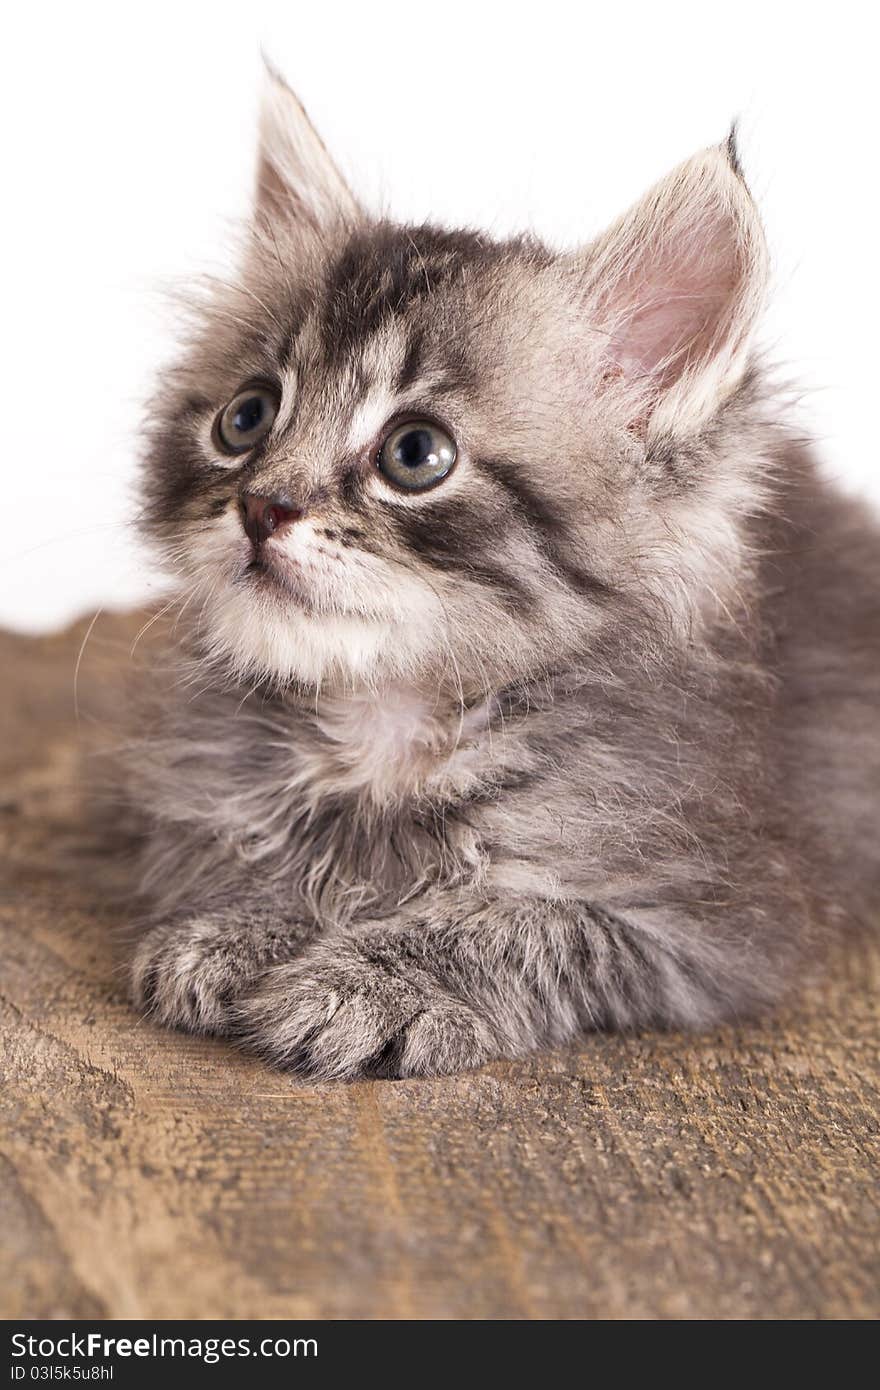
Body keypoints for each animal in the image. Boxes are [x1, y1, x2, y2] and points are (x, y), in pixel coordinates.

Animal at [127, 70, 878, 1078]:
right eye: (246, 419)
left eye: (415, 454)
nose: (261, 506)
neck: (388, 729)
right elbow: (257, 857)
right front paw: (247, 925)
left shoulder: (717, 920)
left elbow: (529, 922)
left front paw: (374, 980)